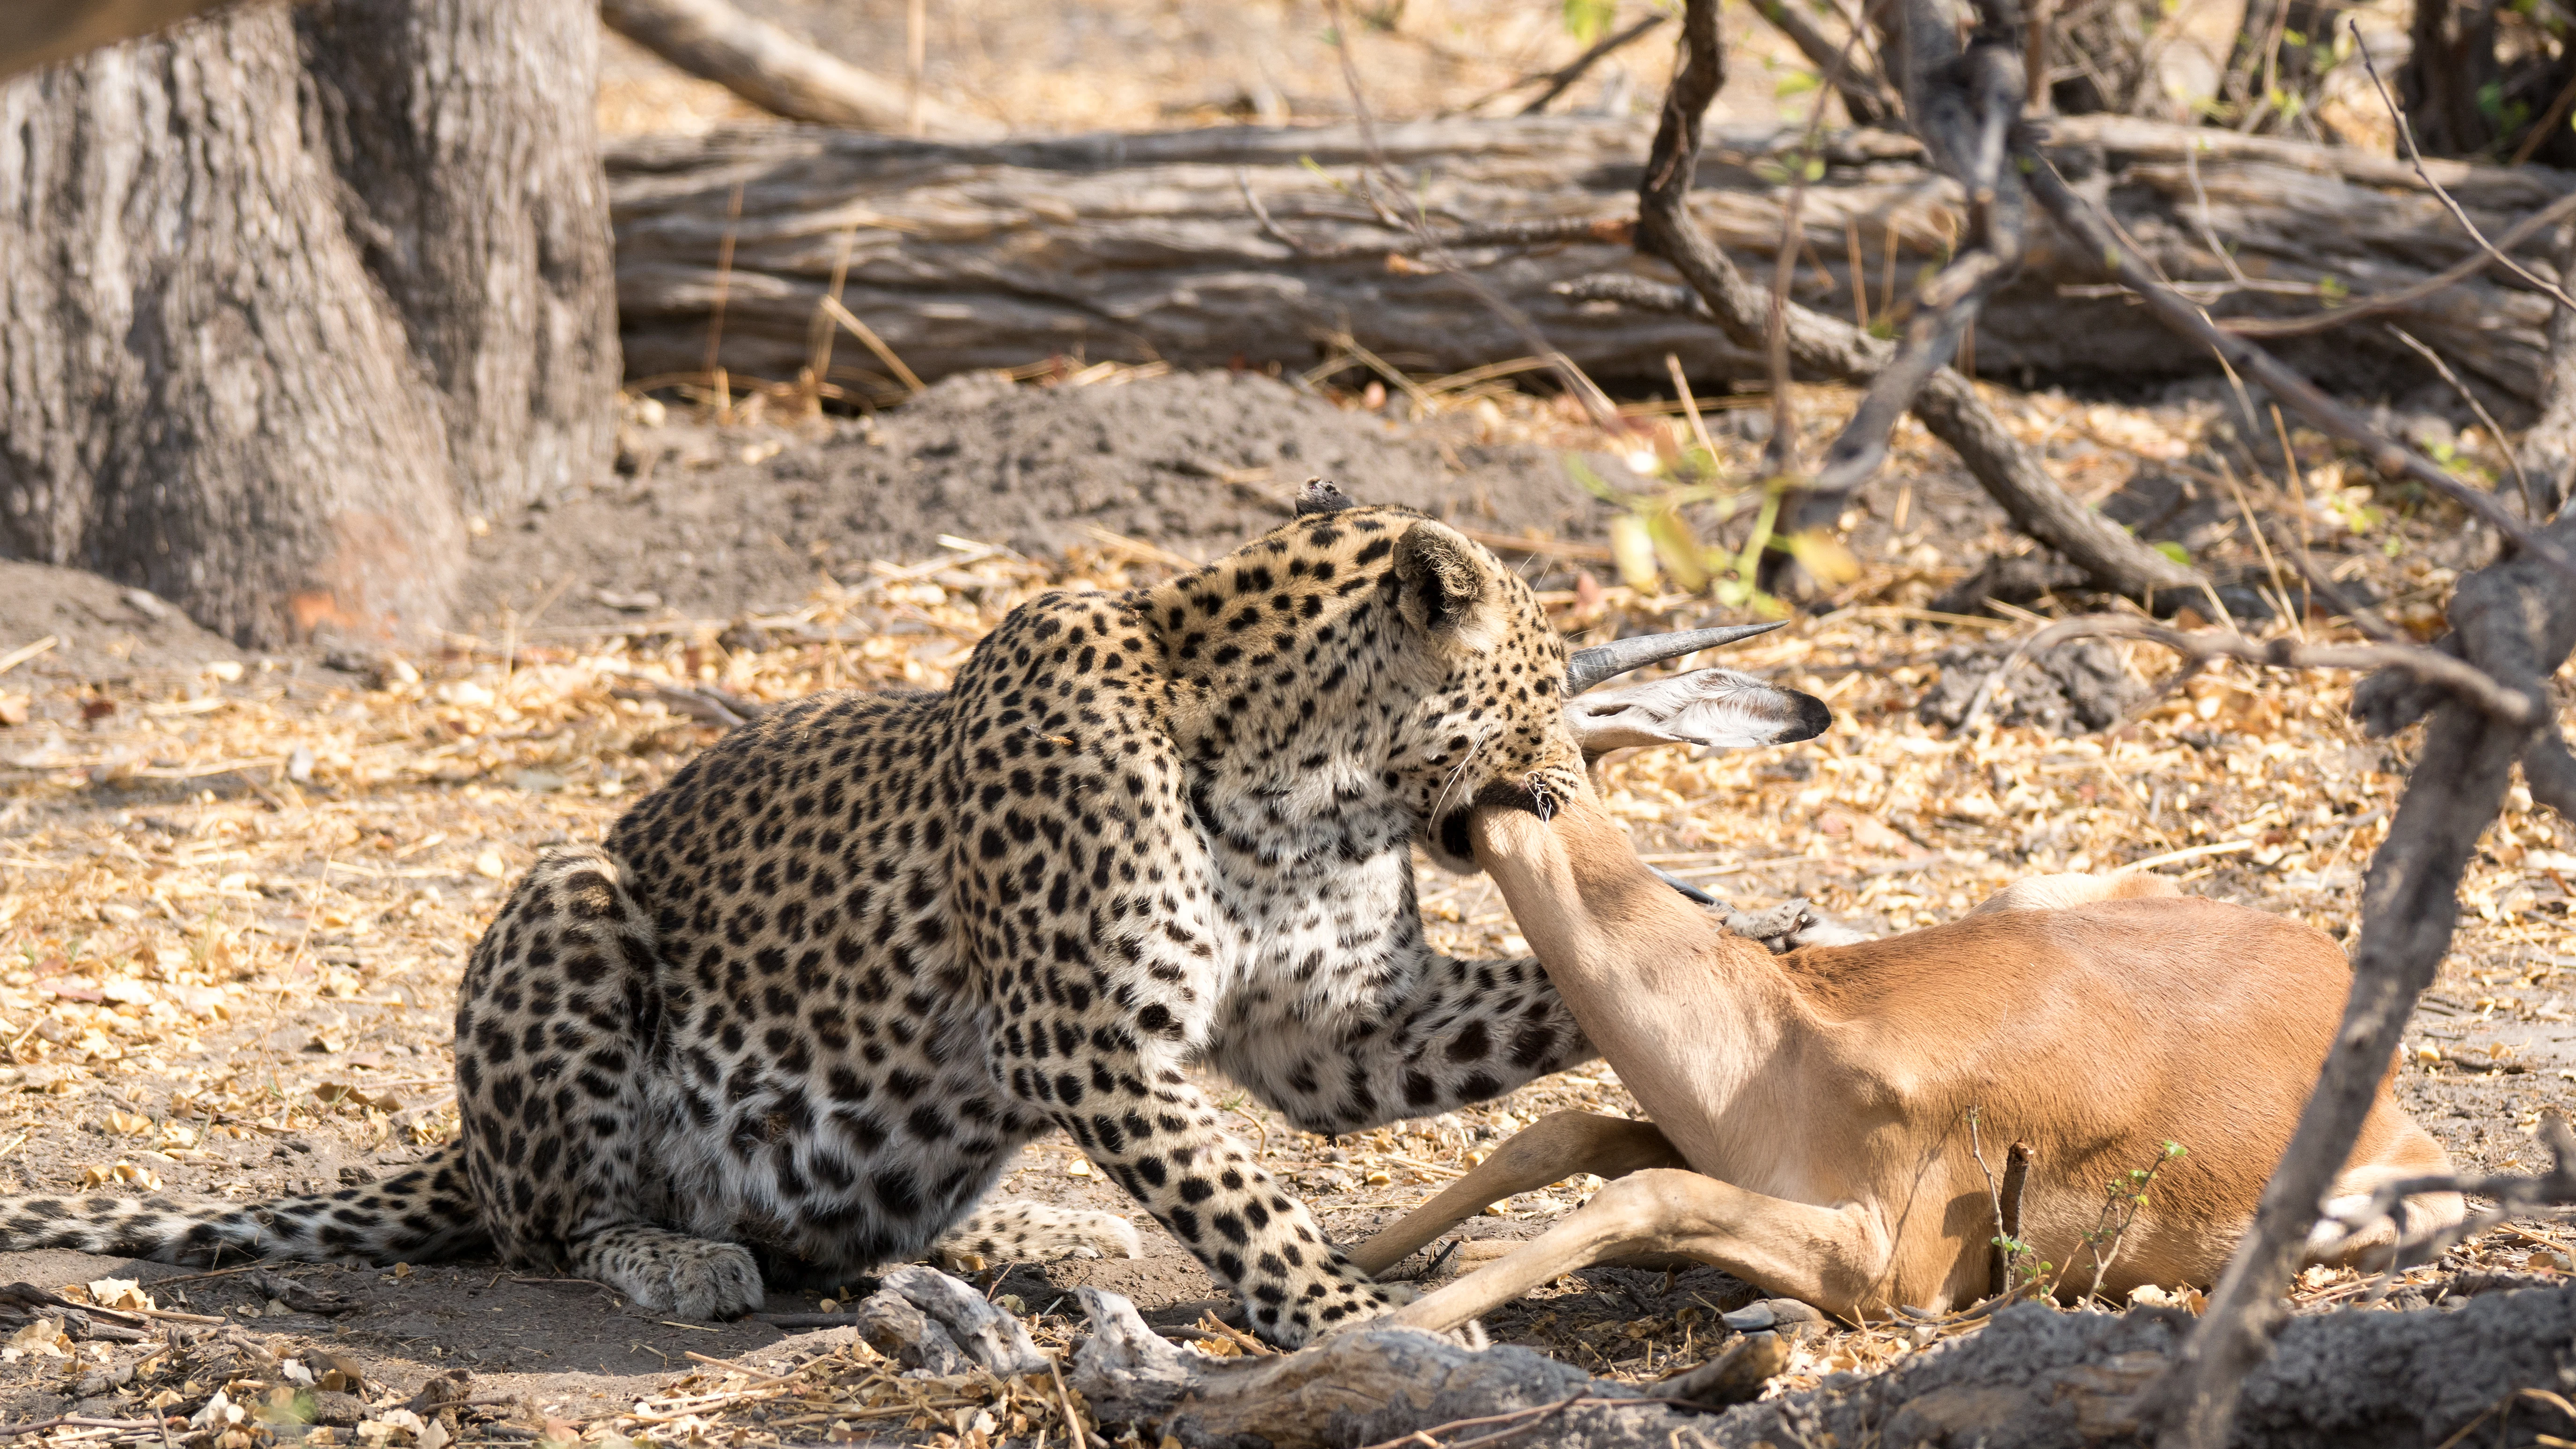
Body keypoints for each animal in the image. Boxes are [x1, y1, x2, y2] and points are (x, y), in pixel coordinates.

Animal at [0, 484, 1614, 1347]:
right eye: (1547, 687)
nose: (1576, 782)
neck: (1309, 795)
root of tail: (453, 1149)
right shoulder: (1087, 1034)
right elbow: (1243, 1198)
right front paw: (1357, 1320)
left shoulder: (1336, 1025)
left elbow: (1472, 1022)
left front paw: (1687, 935)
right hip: (563, 900)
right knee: (554, 1225)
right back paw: (680, 1255)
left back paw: (976, 1242)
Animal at [1346, 673, 2462, 1327]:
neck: (1774, 1041)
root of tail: (2329, 963)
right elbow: (1565, 1133)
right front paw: (1358, 1260)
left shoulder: (1889, 1265)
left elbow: (1644, 1194)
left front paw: (1378, 1324)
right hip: (2027, 893)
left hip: (2390, 1202)